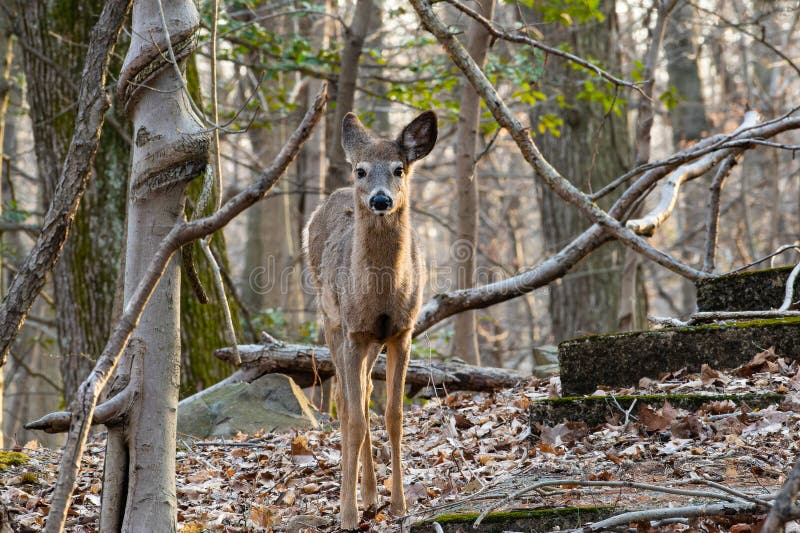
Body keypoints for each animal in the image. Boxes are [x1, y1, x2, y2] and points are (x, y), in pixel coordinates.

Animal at [304, 110, 438, 524]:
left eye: (399, 168)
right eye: (361, 170)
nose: (381, 199)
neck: (380, 295)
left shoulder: (401, 332)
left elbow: (393, 415)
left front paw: (399, 504)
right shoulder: (354, 332)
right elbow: (353, 419)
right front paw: (346, 514)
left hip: (370, 344)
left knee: (362, 396)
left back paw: (371, 494)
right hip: (331, 322)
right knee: (350, 404)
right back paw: (358, 497)